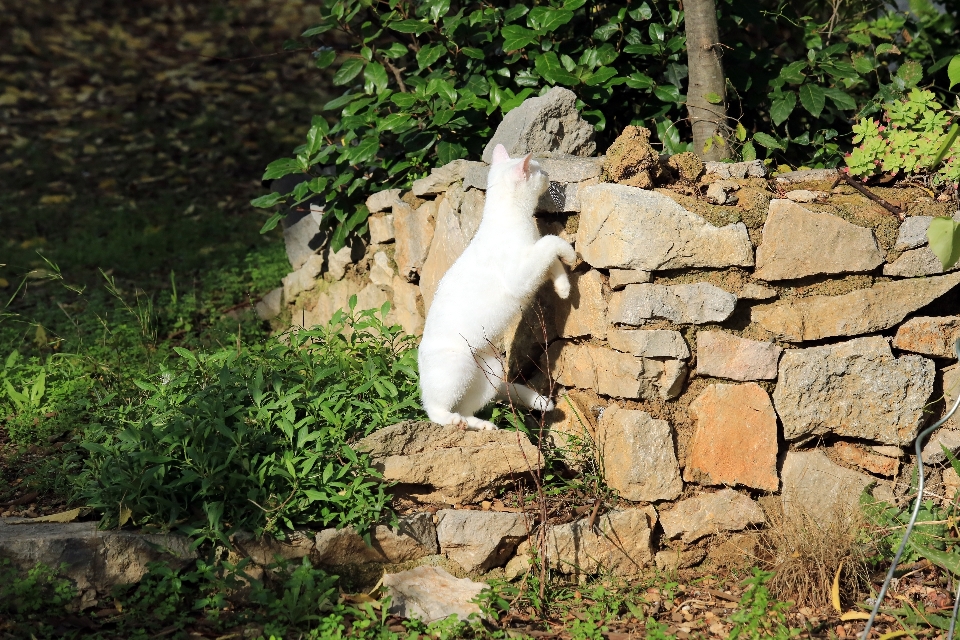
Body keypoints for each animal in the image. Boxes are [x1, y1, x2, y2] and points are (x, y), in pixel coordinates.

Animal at [416, 144, 572, 430]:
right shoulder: (520, 275)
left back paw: (479, 424)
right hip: (457, 366)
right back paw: (451, 420)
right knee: (434, 408)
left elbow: (551, 258)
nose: (549, 175)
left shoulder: (533, 262)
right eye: (539, 171)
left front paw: (564, 287)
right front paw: (570, 253)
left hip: (492, 369)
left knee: (467, 407)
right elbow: (551, 241)